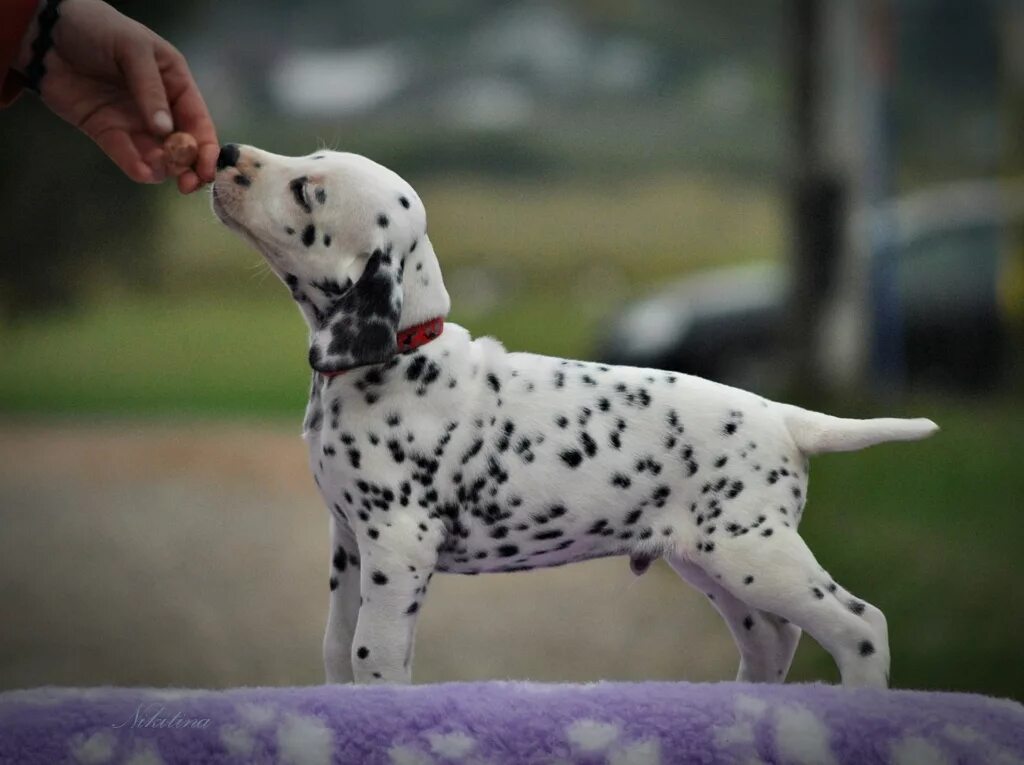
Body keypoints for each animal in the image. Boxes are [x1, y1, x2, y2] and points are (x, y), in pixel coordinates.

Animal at [211, 143, 937, 688]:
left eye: (307, 190)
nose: (225, 151)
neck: (400, 354)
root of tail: (785, 418)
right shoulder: (349, 542)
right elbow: (338, 648)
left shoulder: (396, 544)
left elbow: (375, 654)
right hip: (715, 564)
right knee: (773, 640)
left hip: (755, 551)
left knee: (861, 626)